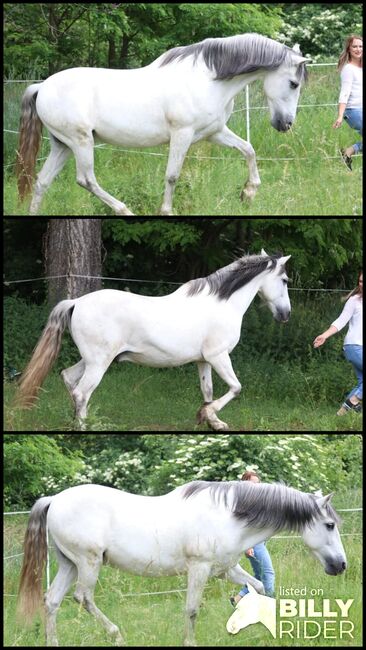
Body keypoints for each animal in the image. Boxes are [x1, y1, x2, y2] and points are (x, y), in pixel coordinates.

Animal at [16, 33, 308, 214]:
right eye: (294, 83)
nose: (286, 124)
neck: (209, 80)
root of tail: (42, 86)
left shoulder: (214, 132)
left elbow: (248, 150)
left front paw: (248, 193)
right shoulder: (182, 134)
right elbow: (172, 175)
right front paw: (166, 211)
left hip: (62, 145)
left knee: (42, 182)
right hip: (80, 141)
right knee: (86, 180)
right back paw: (124, 210)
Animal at [17, 249, 292, 430]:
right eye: (285, 280)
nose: (285, 315)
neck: (222, 304)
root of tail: (75, 302)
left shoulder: (203, 360)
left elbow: (208, 390)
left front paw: (212, 421)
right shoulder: (218, 356)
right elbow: (235, 388)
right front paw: (206, 415)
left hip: (92, 360)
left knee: (68, 378)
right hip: (98, 363)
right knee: (82, 393)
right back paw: (84, 428)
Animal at [17, 478, 348, 640]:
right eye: (329, 525)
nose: (341, 565)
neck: (229, 516)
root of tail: (55, 500)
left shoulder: (225, 569)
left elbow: (257, 588)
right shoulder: (199, 568)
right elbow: (191, 610)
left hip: (69, 564)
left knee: (52, 601)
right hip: (88, 563)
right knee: (83, 597)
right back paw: (116, 634)